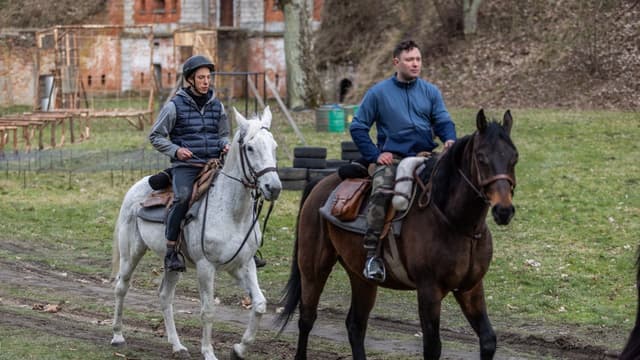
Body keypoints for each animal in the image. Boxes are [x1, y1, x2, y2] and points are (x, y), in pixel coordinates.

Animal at [109, 107, 280, 360]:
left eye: (274, 146)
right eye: (250, 147)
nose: (273, 188)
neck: (233, 213)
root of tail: (135, 188)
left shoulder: (243, 265)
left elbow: (259, 303)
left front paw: (239, 349)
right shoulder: (205, 266)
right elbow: (208, 310)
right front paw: (208, 352)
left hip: (172, 264)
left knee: (165, 296)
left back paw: (177, 345)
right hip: (131, 253)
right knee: (121, 287)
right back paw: (118, 336)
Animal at [278, 109, 516, 360]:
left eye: (514, 158)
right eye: (481, 158)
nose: (504, 210)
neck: (456, 223)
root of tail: (320, 183)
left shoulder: (470, 288)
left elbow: (488, 340)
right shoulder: (429, 292)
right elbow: (433, 347)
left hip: (361, 277)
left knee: (355, 325)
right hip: (313, 269)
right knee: (307, 318)